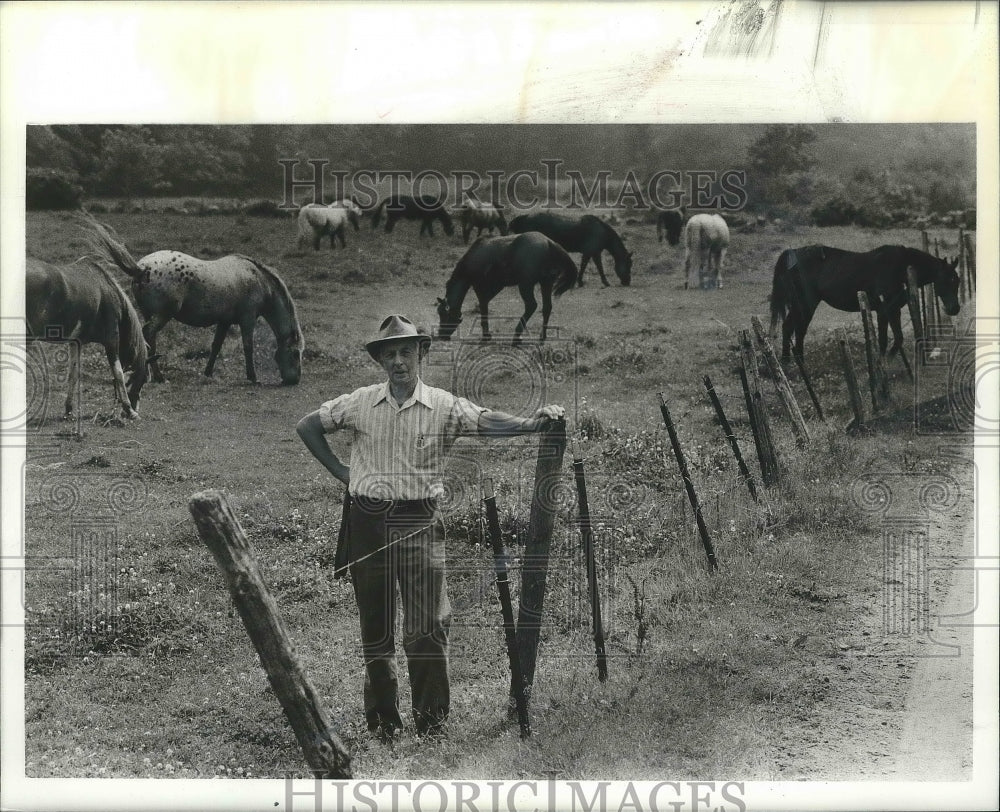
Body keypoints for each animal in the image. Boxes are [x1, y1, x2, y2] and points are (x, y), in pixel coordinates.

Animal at [25, 255, 149, 422]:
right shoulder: (112, 340)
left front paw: (68, 410)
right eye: (143, 379)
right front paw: (129, 410)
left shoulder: (76, 343)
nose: (136, 409)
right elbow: (118, 374)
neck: (108, 290)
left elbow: (73, 374)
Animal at [91, 222, 302, 386]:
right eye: (295, 354)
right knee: (148, 334)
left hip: (149, 313)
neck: (259, 281)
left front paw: (208, 372)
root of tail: (141, 269)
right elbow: (248, 346)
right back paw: (158, 376)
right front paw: (252, 377)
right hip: (163, 315)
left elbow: (216, 346)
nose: (294, 380)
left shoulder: (225, 322)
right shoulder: (247, 319)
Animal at [436, 232, 580, 342]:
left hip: (526, 285)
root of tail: (550, 243)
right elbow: (485, 304)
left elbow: (483, 306)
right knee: (547, 307)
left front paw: (486, 335)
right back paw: (542, 336)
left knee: (531, 306)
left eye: (443, 314)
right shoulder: (496, 286)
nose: (441, 335)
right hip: (546, 283)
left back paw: (517, 336)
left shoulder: (480, 286)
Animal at [764, 243, 960, 364]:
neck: (899, 267)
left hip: (803, 305)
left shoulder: (893, 310)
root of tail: (793, 253)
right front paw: (883, 364)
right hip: (805, 304)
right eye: (947, 280)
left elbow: (898, 338)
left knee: (792, 328)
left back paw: (793, 363)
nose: (955, 309)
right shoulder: (883, 310)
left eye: (957, 281)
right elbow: (883, 340)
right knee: (795, 328)